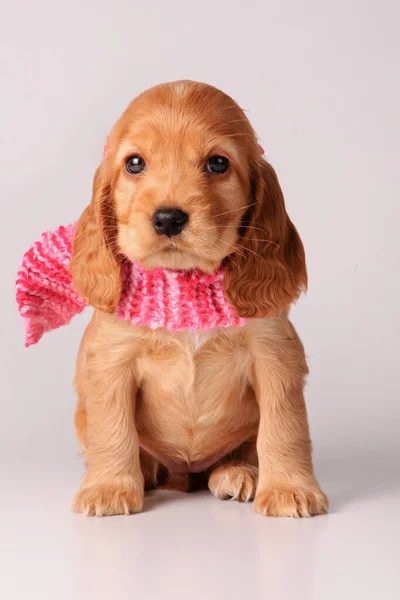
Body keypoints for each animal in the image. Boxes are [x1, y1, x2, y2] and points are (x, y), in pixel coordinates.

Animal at [71, 79, 328, 516]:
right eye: (134, 163)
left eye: (218, 164)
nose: (168, 218)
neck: (185, 282)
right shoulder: (111, 361)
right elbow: (112, 429)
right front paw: (108, 488)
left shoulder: (275, 356)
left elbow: (284, 427)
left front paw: (289, 488)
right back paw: (147, 471)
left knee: (245, 448)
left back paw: (239, 472)